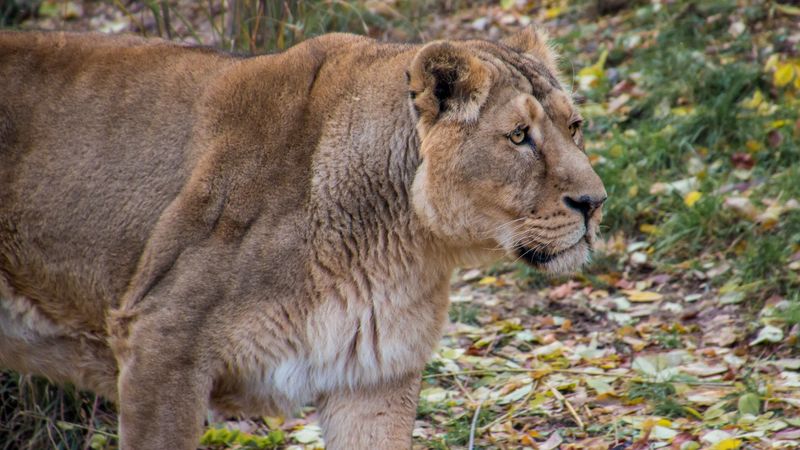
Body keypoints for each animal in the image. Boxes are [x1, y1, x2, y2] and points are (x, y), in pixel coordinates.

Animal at [0, 27, 605, 449]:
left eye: (574, 127)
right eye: (519, 137)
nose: (595, 203)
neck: (404, 247)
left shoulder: (375, 381)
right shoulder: (160, 343)